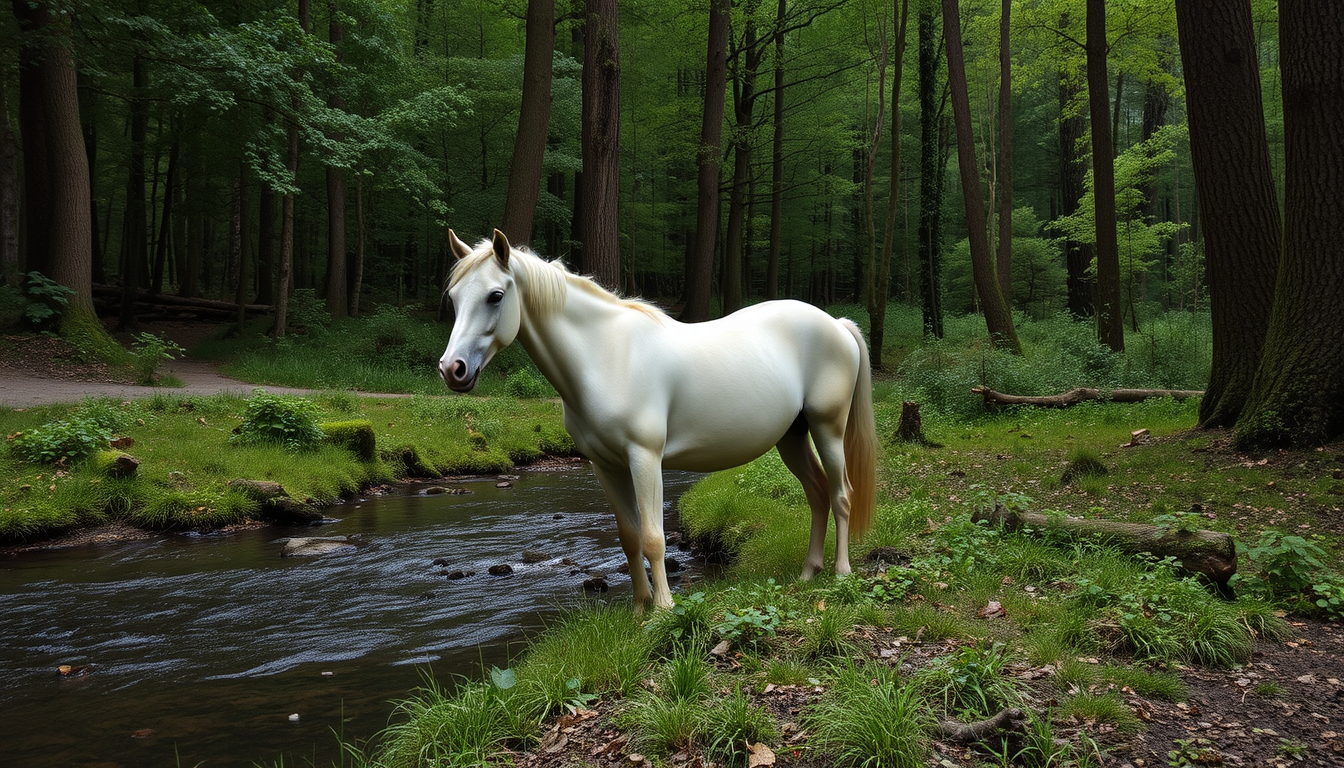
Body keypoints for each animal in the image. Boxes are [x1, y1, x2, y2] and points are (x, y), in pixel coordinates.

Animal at [439, 228, 878, 611]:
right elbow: (629, 538)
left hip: (827, 428)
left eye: (496, 295)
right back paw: (808, 573)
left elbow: (653, 538)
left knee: (841, 494)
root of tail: (837, 324)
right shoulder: (605, 466)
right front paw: (639, 609)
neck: (606, 355)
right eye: (455, 298)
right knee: (817, 493)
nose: (452, 369)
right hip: (792, 436)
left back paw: (840, 572)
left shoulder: (645, 458)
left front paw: (664, 609)